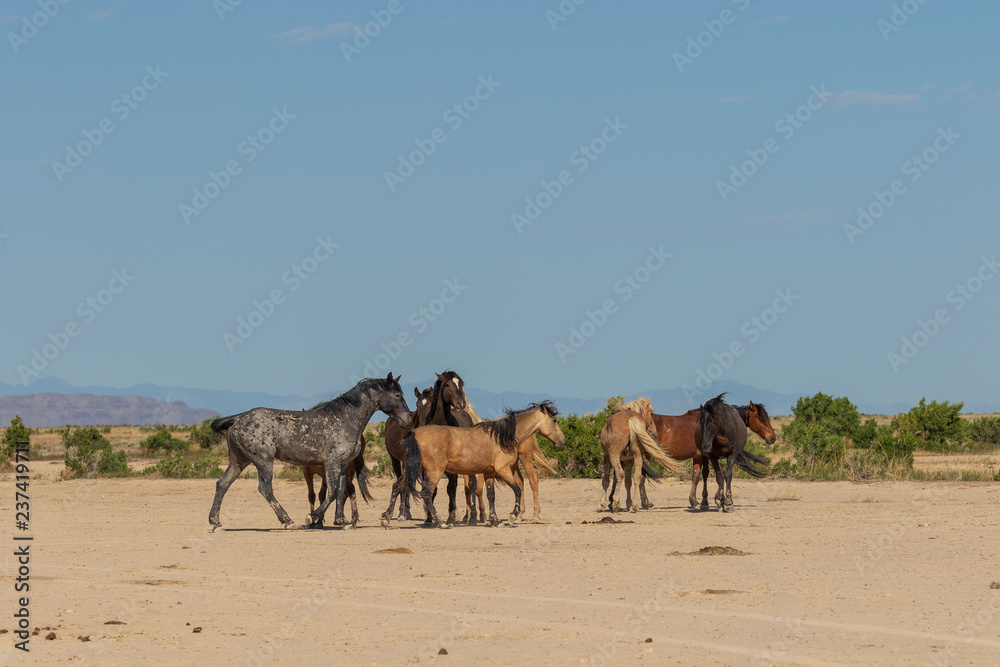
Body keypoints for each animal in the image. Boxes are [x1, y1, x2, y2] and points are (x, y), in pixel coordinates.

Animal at [208, 374, 412, 530]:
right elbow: (331, 493)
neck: (344, 420)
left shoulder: (343, 465)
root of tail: (238, 419)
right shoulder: (331, 462)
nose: (409, 419)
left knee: (222, 484)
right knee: (265, 489)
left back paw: (216, 523)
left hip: (239, 461)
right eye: (397, 394)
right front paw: (312, 517)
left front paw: (342, 522)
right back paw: (288, 521)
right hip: (263, 461)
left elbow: (340, 492)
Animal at [302, 386, 434, 528]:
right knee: (347, 491)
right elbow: (323, 494)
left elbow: (316, 494)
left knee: (348, 490)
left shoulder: (312, 472)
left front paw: (316, 520)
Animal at [395, 401, 566, 527]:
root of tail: (414, 434)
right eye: (554, 420)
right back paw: (440, 522)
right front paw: (511, 516)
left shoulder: (489, 472)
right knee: (426, 493)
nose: (562, 441)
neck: (501, 437)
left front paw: (495, 520)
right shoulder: (503, 470)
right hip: (434, 471)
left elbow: (491, 495)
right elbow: (516, 490)